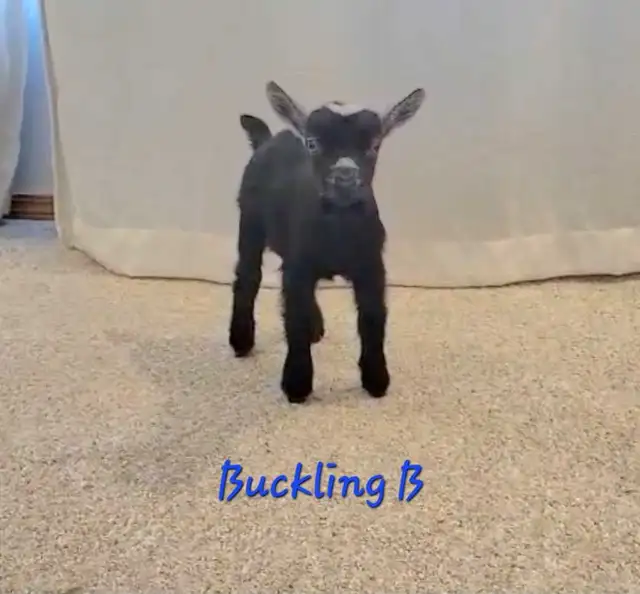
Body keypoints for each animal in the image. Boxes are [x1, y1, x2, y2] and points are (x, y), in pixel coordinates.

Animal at [229, 81, 426, 404]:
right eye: (312, 143)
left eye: (374, 146)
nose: (344, 175)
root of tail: (268, 140)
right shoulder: (299, 263)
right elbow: (293, 317)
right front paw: (296, 384)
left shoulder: (371, 266)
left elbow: (373, 318)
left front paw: (376, 380)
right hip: (250, 222)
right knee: (247, 275)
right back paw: (241, 340)